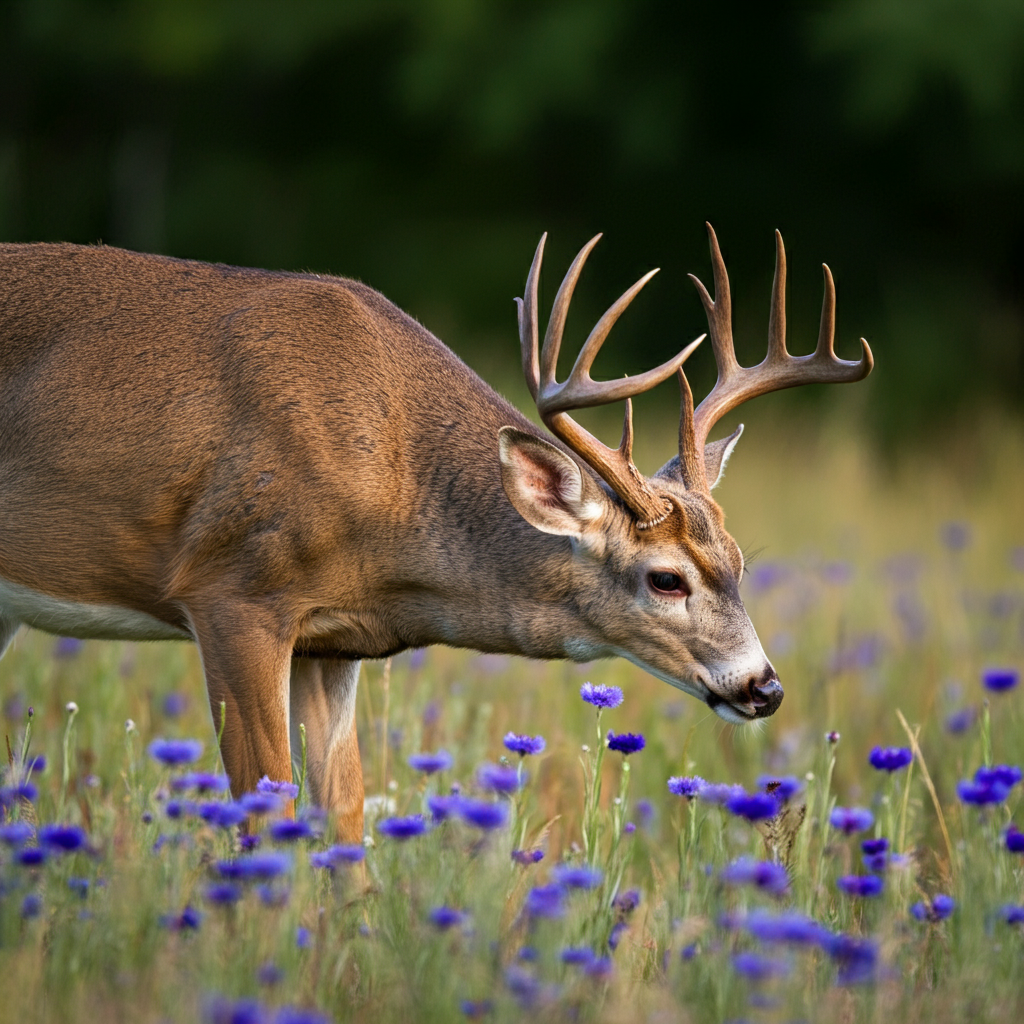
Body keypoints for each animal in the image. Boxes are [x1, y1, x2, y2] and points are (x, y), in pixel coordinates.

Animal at [0, 224, 872, 839]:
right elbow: (263, 809)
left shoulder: (331, 641)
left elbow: (344, 820)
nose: (764, 687)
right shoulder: (231, 592)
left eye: (740, 564)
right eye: (666, 577)